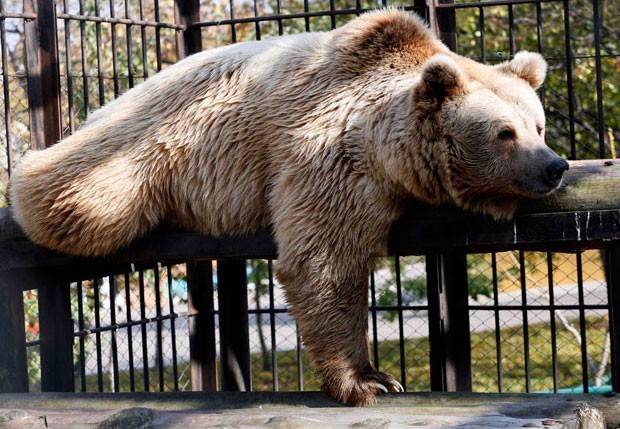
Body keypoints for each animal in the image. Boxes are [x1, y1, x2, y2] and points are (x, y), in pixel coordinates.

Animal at [9, 9, 568, 404]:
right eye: (505, 132)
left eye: (538, 125)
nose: (554, 166)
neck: (390, 146)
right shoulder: (330, 153)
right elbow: (324, 261)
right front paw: (368, 380)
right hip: (140, 149)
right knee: (78, 199)